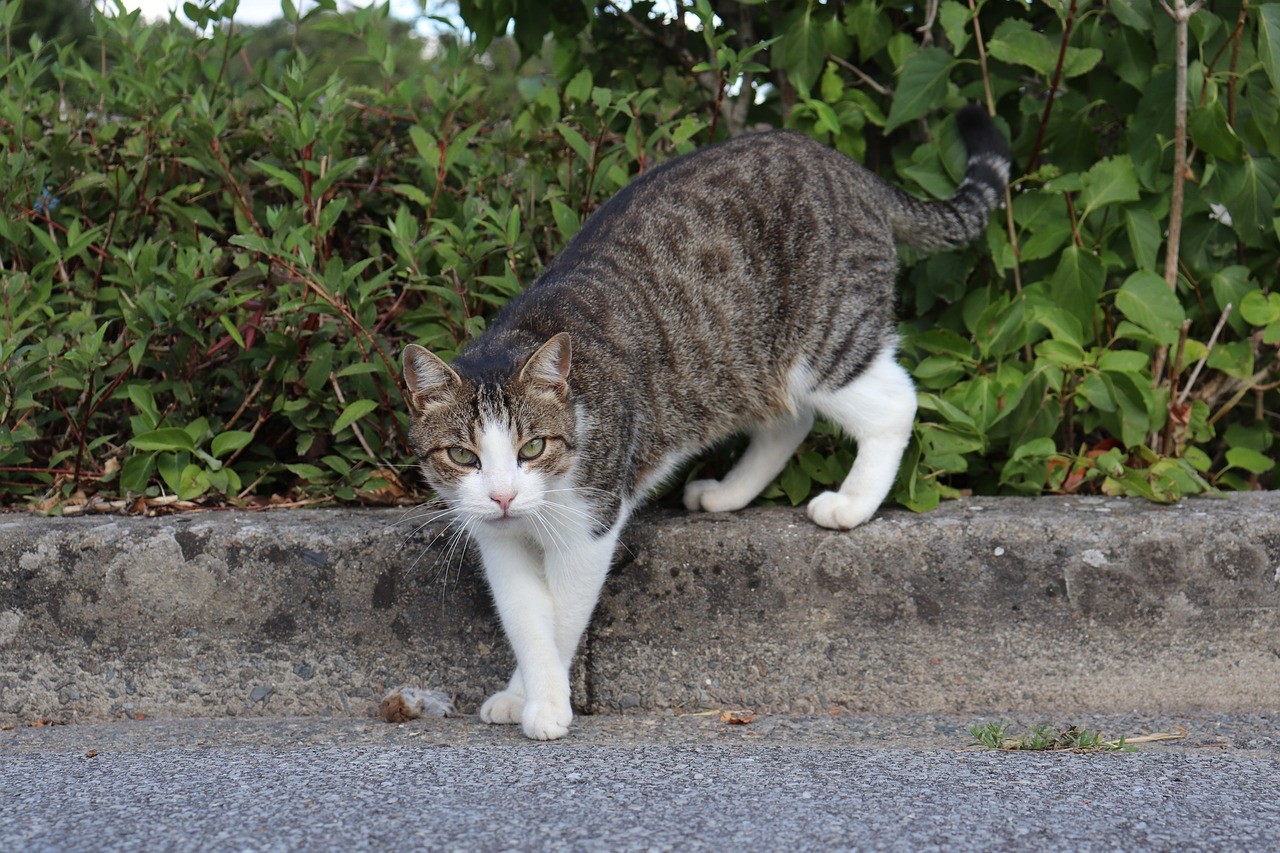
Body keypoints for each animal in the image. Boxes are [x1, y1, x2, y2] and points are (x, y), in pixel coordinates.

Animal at [399, 104, 1008, 737]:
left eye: (533, 448)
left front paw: (544, 705)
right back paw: (728, 493)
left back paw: (852, 502)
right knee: (788, 422)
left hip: (822, 342)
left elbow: (562, 622)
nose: (502, 496)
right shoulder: (499, 544)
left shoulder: (589, 525)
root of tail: (843, 165)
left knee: (894, 402)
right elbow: (526, 621)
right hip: (741, 369)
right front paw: (519, 694)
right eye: (463, 456)